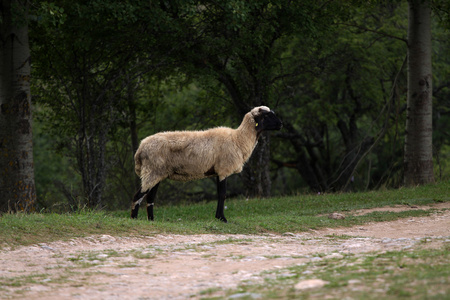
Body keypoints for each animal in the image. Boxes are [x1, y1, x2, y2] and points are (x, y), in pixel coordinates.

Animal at [130, 106, 282, 221]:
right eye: (267, 115)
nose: (281, 124)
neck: (239, 139)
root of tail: (140, 149)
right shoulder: (223, 170)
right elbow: (223, 194)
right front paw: (222, 218)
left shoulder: (218, 171)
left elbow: (220, 194)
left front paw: (218, 217)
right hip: (152, 171)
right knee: (138, 195)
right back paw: (134, 219)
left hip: (157, 173)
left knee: (149, 197)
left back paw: (151, 220)